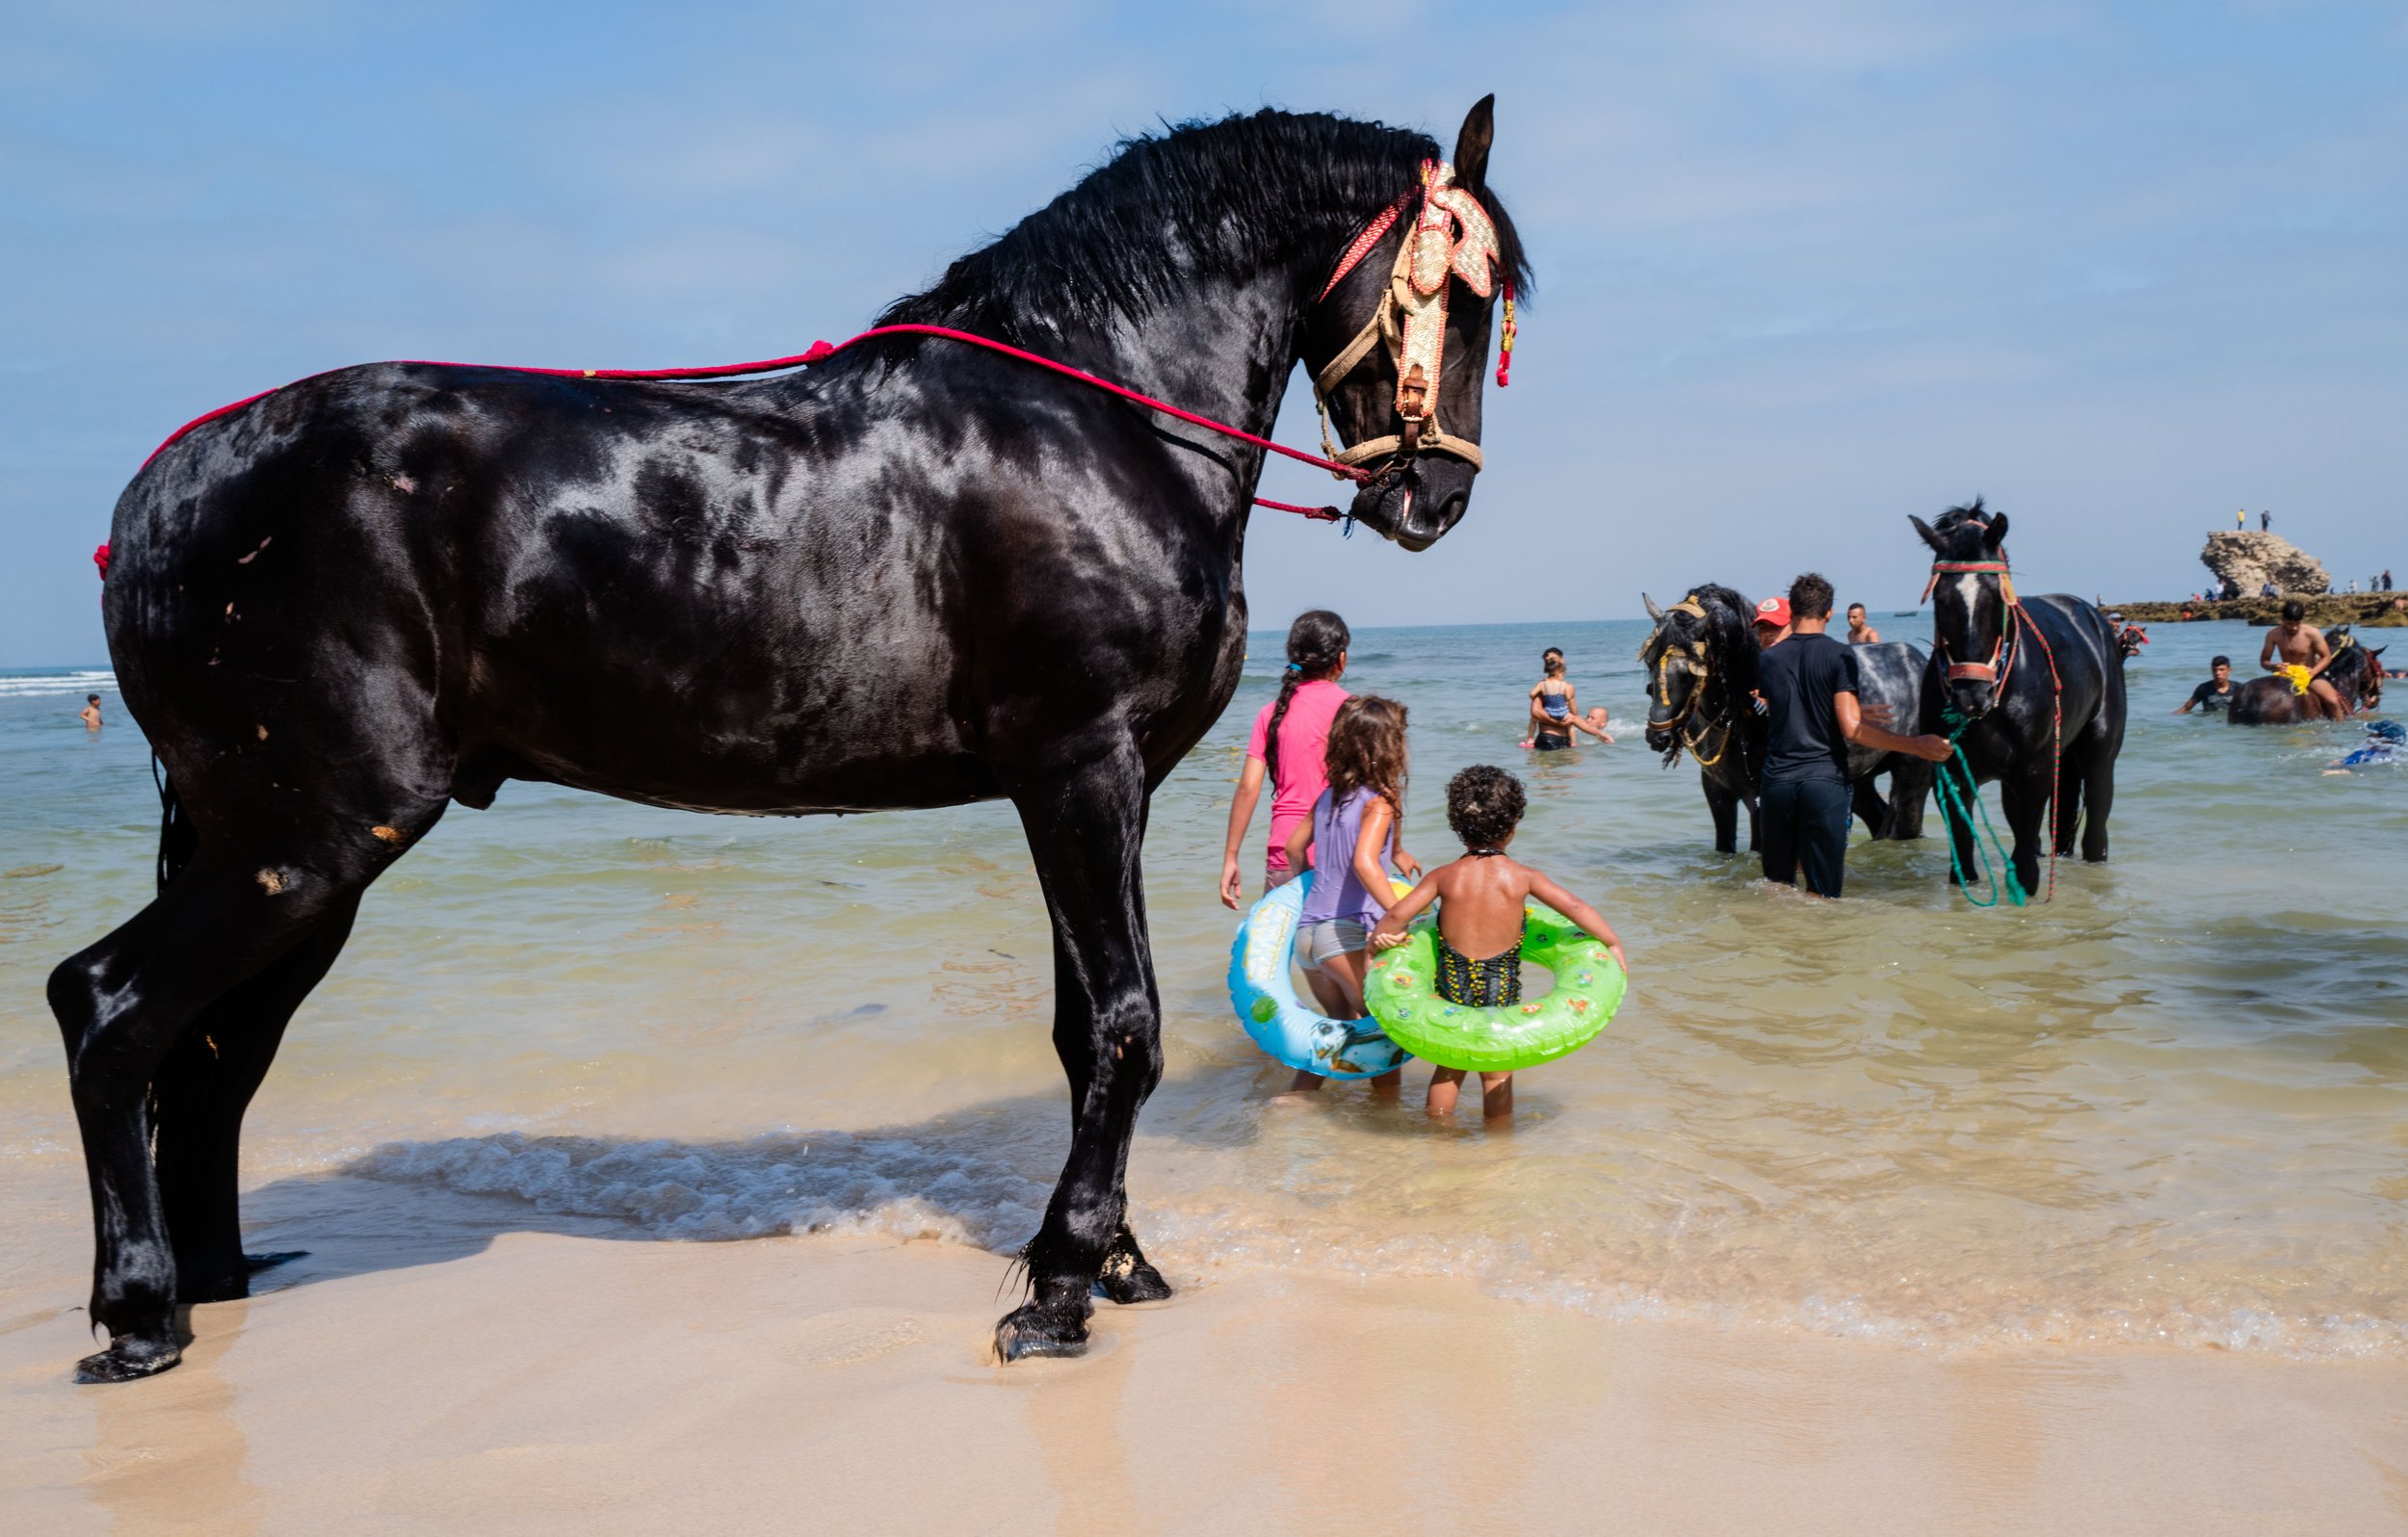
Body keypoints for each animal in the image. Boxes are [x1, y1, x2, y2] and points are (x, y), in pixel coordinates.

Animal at [49, 101, 1530, 1382]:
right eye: (1461, 290)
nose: (1437, 498)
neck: (1099, 419)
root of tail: (156, 499)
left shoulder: (1106, 789)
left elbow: (1082, 1028)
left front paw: (1113, 1261)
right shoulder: (1077, 768)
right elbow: (1123, 1025)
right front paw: (1059, 1289)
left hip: (285, 854)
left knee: (216, 1060)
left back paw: (212, 1283)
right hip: (309, 839)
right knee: (109, 1007)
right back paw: (138, 1313)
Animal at [1910, 501, 2125, 898]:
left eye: (1995, 597)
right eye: (1940, 599)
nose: (1971, 696)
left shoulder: (2034, 772)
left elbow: (2025, 868)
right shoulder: (1951, 776)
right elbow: (1963, 861)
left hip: (2098, 757)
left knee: (2095, 831)